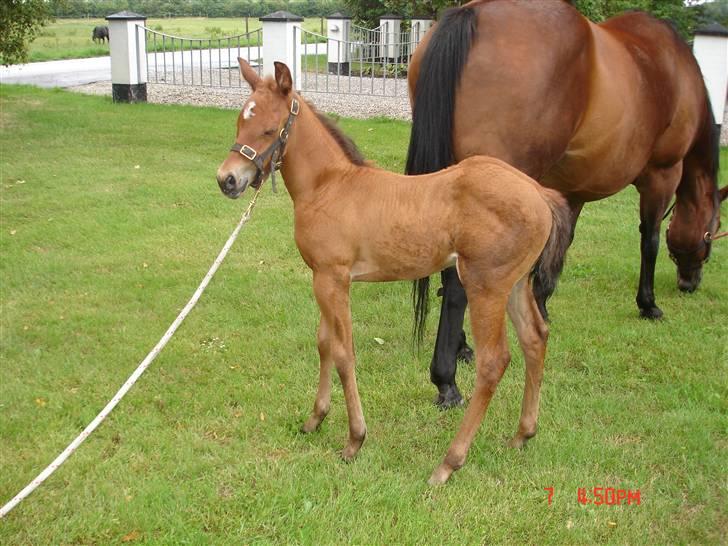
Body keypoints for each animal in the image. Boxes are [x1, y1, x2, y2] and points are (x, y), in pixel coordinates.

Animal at [216, 59, 576, 482]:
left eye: (269, 130)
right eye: (239, 123)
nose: (227, 180)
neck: (329, 186)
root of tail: (539, 192)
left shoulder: (333, 279)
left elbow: (344, 353)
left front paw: (354, 440)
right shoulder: (322, 278)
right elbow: (324, 343)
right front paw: (315, 419)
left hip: (485, 286)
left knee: (493, 361)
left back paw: (449, 462)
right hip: (517, 283)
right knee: (535, 338)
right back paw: (522, 434)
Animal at [406, 0, 724, 404]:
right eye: (713, 231)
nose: (689, 282)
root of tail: (475, 12)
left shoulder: (571, 191)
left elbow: (557, 250)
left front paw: (541, 307)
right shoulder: (661, 176)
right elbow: (649, 241)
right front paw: (648, 303)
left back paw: (462, 348)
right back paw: (446, 381)